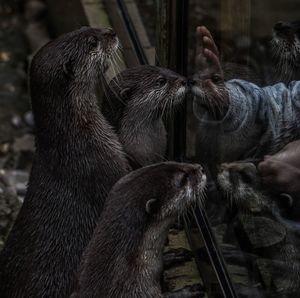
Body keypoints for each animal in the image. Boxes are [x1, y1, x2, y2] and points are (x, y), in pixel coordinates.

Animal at [71, 163, 206, 298]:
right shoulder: (134, 288)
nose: (200, 168)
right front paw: (189, 291)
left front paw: (174, 254)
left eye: (171, 162)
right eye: (184, 178)